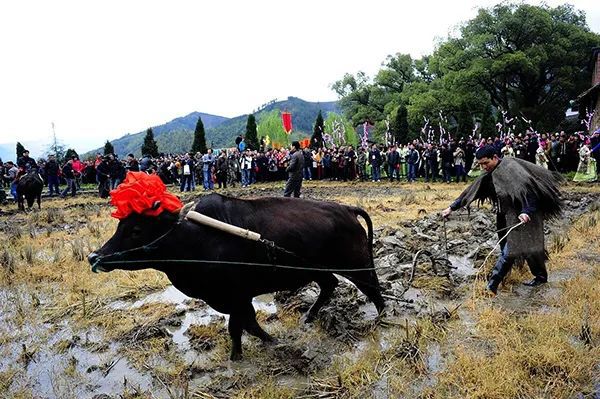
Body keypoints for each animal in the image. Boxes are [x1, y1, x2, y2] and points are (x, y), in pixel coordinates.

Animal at [89, 191, 384, 362]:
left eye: (136, 229)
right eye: (120, 225)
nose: (94, 257)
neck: (194, 237)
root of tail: (346, 209)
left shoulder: (236, 296)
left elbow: (240, 326)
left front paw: (244, 353)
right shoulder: (234, 299)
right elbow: (246, 324)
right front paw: (254, 347)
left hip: (356, 265)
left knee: (373, 289)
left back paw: (381, 318)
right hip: (316, 270)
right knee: (330, 285)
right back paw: (309, 316)